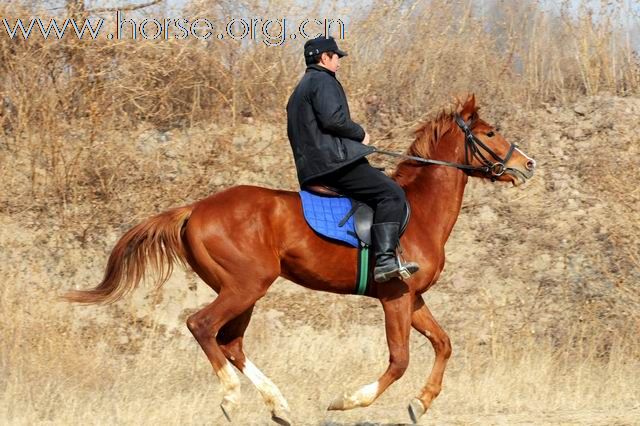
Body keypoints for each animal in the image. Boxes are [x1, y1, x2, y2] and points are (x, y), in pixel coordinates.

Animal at [65, 95, 536, 424]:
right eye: (490, 133)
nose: (528, 165)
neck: (418, 211)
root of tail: (195, 208)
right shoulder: (395, 297)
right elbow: (400, 360)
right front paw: (347, 401)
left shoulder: (413, 298)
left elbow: (443, 343)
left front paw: (420, 404)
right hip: (246, 286)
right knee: (202, 326)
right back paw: (232, 397)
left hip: (242, 291)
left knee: (230, 342)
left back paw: (278, 405)